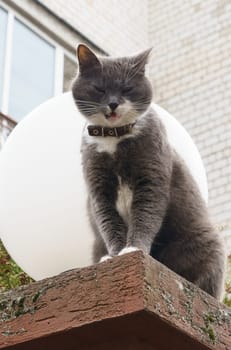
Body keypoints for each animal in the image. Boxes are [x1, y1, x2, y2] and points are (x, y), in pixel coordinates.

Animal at [71, 44, 225, 298]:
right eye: (99, 89)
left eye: (127, 88)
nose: (113, 104)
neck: (115, 137)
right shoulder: (98, 185)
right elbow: (108, 221)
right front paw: (114, 255)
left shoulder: (152, 174)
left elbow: (146, 215)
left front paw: (133, 248)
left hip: (206, 241)